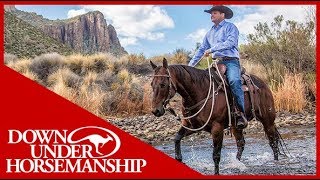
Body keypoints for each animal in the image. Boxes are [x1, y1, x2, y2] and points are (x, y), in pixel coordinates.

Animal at [149, 58, 284, 174]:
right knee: (241, 143)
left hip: (268, 120)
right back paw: (237, 163)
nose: (155, 110)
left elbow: (216, 155)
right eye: (151, 84)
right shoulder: (192, 126)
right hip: (236, 126)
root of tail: (263, 84)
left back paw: (275, 162)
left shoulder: (217, 128)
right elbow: (177, 138)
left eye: (163, 84)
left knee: (273, 141)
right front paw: (179, 158)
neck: (200, 92)